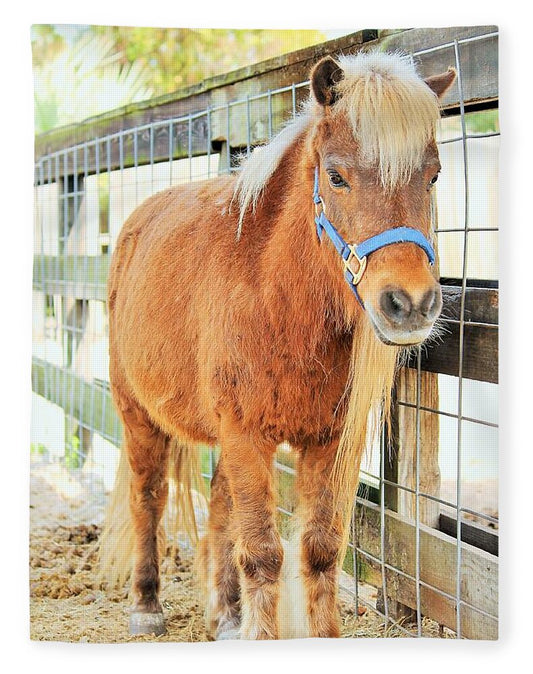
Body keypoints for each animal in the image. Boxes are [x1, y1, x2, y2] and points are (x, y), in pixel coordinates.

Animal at [99, 50, 456, 640]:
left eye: (433, 175)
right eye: (336, 176)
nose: (410, 303)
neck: (278, 300)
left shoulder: (328, 442)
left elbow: (319, 549)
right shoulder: (246, 435)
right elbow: (263, 554)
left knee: (220, 506)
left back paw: (226, 613)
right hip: (138, 414)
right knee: (148, 497)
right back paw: (146, 605)